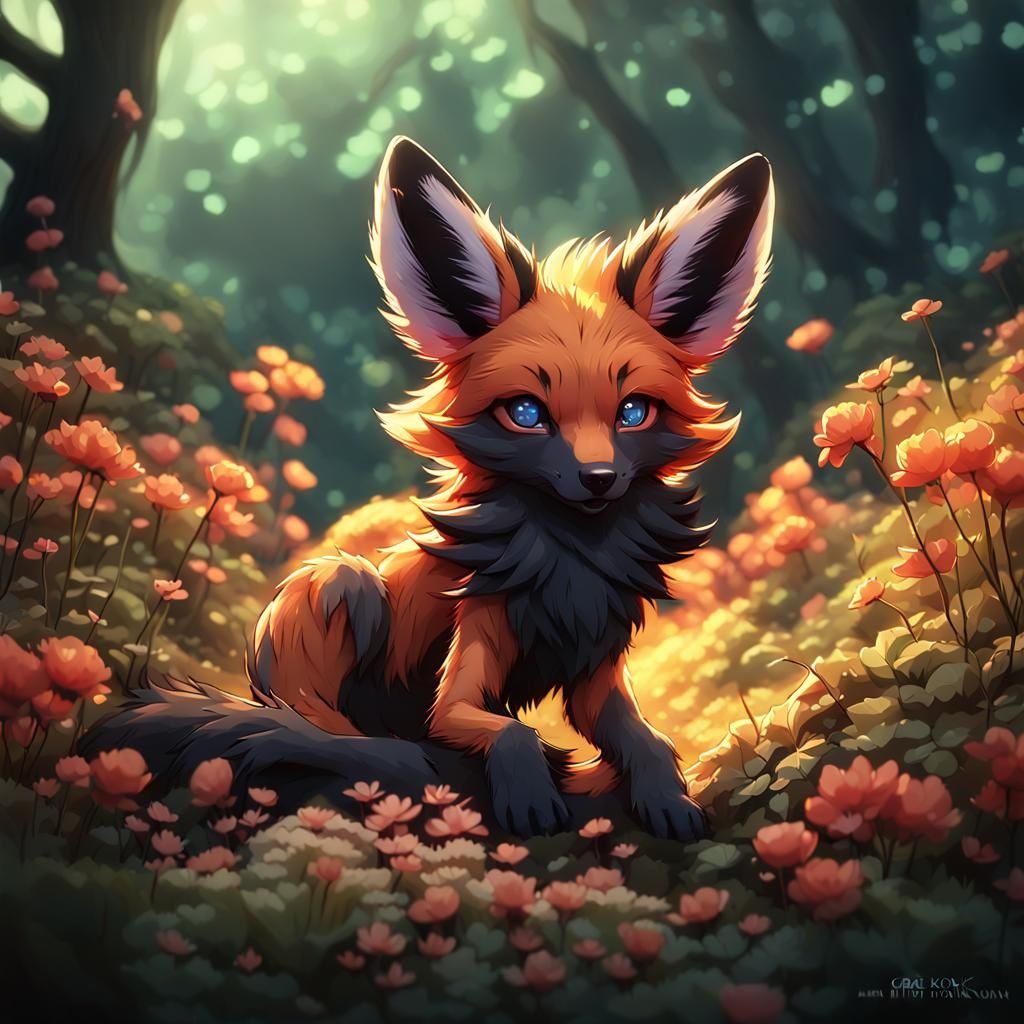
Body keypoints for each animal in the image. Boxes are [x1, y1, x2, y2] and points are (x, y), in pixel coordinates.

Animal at [86, 137, 774, 839]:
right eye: (526, 413)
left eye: (633, 412)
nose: (598, 479)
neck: (570, 566)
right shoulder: (464, 674)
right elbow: (508, 733)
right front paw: (530, 795)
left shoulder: (596, 671)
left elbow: (647, 740)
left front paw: (668, 800)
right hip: (340, 583)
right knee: (311, 723)